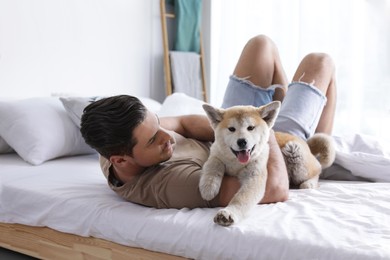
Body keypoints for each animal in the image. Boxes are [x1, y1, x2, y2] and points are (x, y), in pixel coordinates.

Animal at [200, 101, 336, 225]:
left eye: (250, 128)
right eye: (231, 129)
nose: (242, 142)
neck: (237, 163)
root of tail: (305, 143)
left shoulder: (254, 177)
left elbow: (241, 198)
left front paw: (229, 212)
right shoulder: (215, 154)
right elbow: (213, 165)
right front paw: (208, 187)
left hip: (295, 153)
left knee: (317, 170)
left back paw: (309, 183)